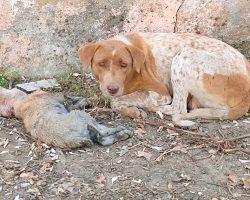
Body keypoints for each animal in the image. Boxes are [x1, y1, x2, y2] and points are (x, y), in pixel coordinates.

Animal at [78, 32, 250, 126]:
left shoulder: (160, 94)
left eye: (124, 64)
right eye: (101, 64)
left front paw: (132, 110)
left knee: (178, 107)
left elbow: (117, 101)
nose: (112, 89)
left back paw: (151, 109)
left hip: (183, 57)